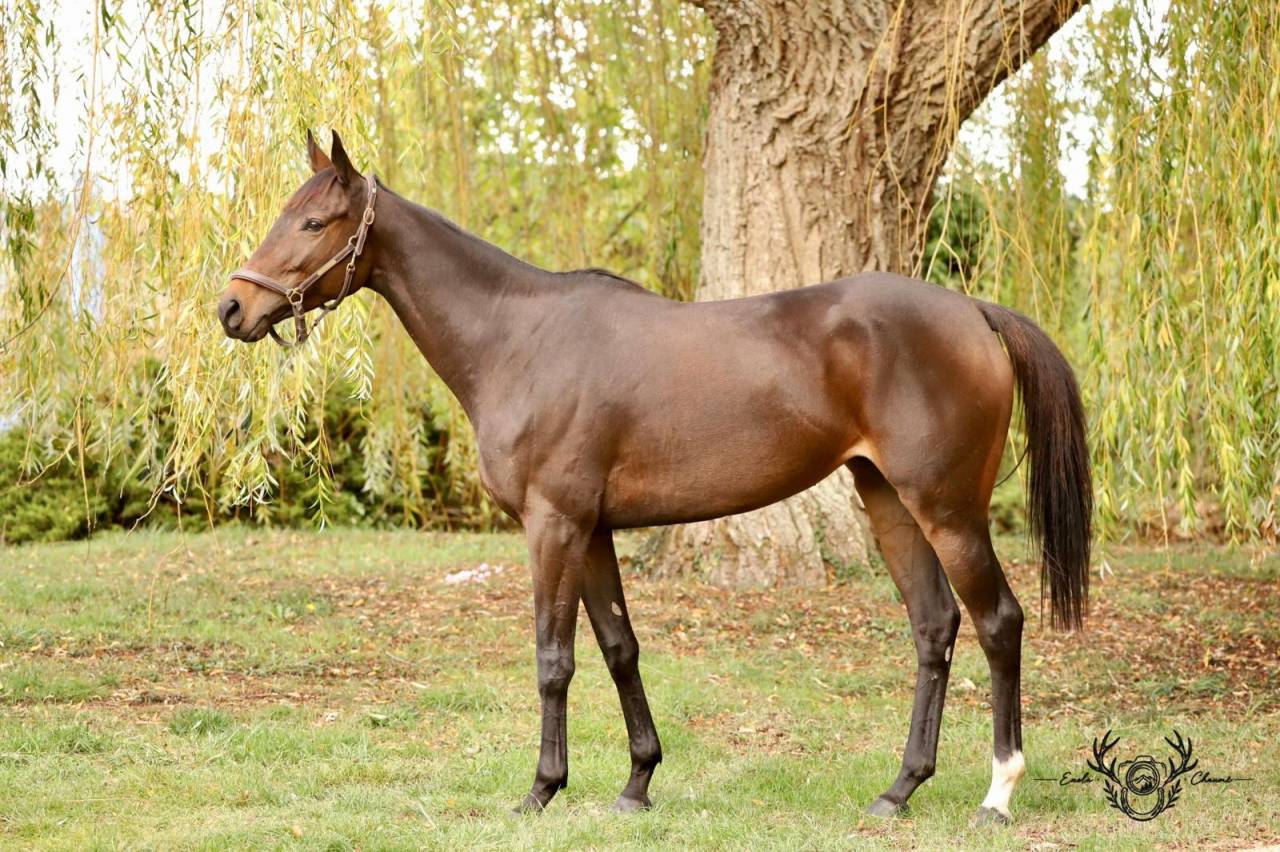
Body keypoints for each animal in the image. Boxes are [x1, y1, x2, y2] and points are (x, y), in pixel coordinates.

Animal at [218, 131, 1091, 824]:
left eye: (315, 222)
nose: (232, 309)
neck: (518, 338)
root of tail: (973, 312)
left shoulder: (554, 525)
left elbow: (554, 659)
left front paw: (541, 790)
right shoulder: (594, 530)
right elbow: (619, 648)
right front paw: (636, 784)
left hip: (948, 510)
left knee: (998, 622)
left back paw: (997, 794)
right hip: (889, 504)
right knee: (933, 627)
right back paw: (898, 789)